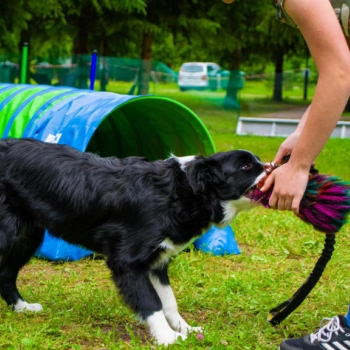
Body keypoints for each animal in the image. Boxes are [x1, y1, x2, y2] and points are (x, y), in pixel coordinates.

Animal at [0, 137, 264, 344]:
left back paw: (22, 307)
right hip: (9, 233)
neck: (182, 192)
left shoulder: (157, 261)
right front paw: (168, 338)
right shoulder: (127, 262)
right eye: (247, 165)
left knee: (6, 274)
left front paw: (186, 329)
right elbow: (151, 303)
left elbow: (169, 302)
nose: (272, 168)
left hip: (27, 236)